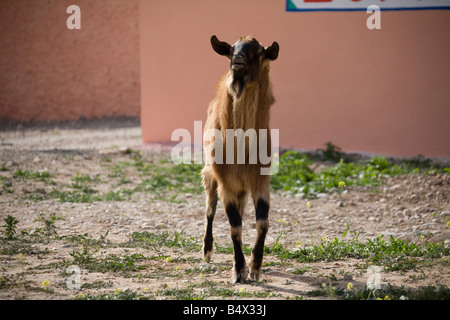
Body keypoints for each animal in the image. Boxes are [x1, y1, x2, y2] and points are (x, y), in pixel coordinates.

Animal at [200, 35, 278, 282]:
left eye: (259, 51)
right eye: (232, 48)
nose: (238, 59)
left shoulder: (260, 181)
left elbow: (262, 223)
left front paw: (255, 266)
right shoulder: (226, 183)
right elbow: (235, 228)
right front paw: (239, 270)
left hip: (242, 188)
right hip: (210, 174)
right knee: (210, 210)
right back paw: (207, 251)